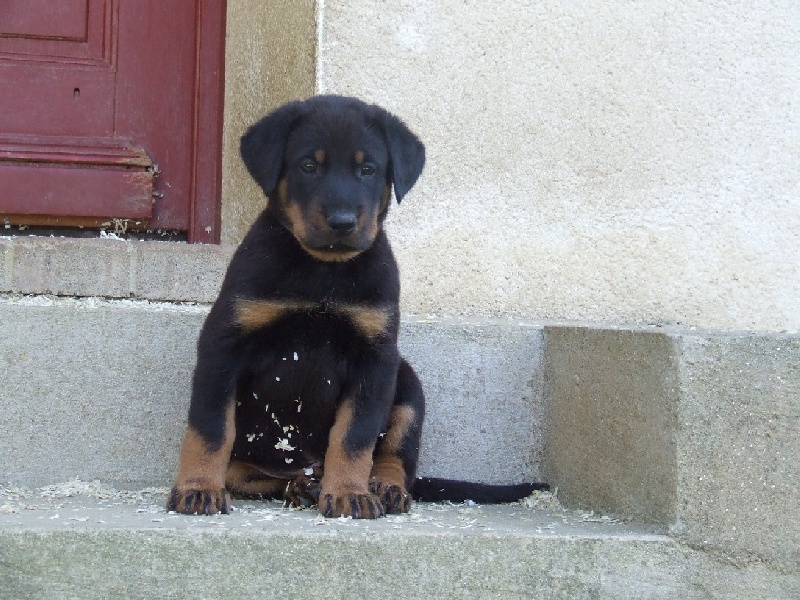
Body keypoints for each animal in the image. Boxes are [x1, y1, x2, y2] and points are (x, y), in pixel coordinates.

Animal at [168, 96, 428, 516]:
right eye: (308, 166)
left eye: (368, 169)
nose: (342, 222)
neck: (322, 270)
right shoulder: (223, 344)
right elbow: (210, 427)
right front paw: (198, 487)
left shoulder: (376, 358)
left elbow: (354, 436)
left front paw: (349, 493)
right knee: (250, 473)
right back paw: (303, 485)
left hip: (406, 385)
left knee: (395, 452)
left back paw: (382, 486)